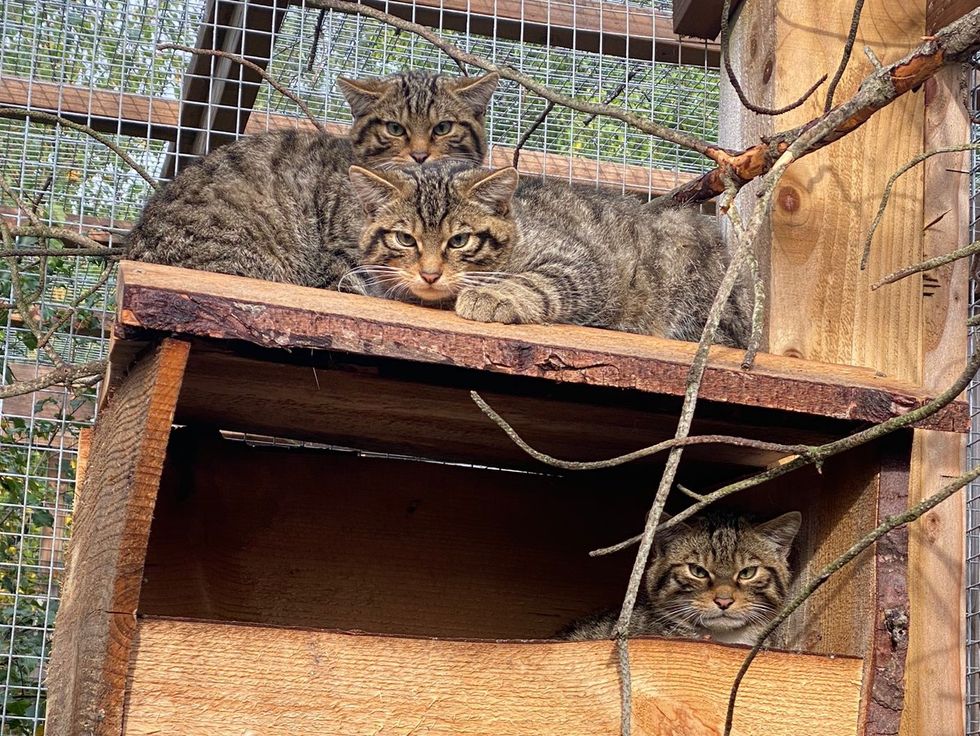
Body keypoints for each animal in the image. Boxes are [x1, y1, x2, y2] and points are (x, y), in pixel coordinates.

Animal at [344, 161, 752, 344]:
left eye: (459, 241)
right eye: (405, 239)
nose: (430, 273)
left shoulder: (578, 263)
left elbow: (535, 281)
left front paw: (492, 295)